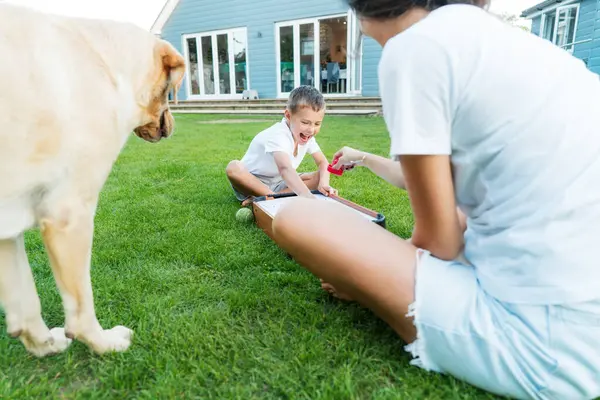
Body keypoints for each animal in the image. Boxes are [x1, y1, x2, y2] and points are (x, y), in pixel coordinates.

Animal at [0, 3, 185, 356]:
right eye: (171, 91)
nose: (172, 126)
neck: (110, 69)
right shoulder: (69, 214)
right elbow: (81, 309)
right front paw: (105, 343)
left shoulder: (6, 230)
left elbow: (26, 305)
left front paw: (45, 344)